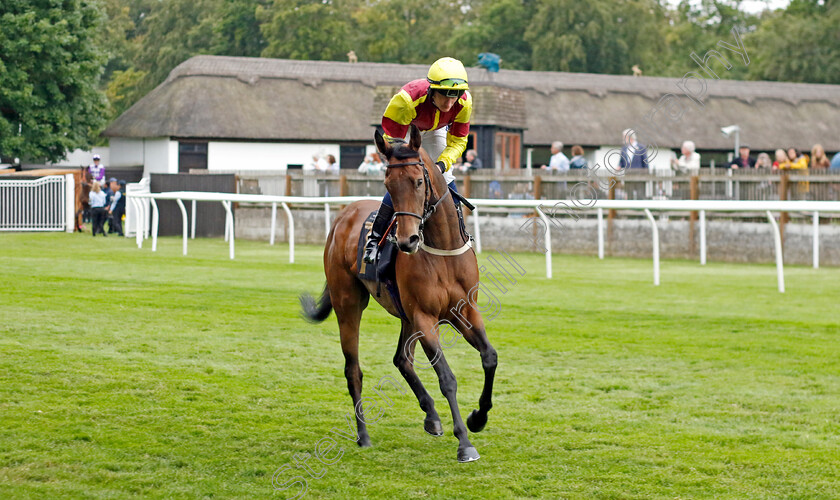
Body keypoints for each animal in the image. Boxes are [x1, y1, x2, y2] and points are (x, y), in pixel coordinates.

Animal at [302, 127, 498, 462]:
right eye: (388, 186)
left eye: (419, 182)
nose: (407, 241)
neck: (441, 249)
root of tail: (343, 216)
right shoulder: (425, 317)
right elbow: (447, 378)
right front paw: (464, 442)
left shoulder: (464, 311)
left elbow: (489, 357)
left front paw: (478, 417)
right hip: (349, 303)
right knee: (353, 370)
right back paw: (363, 435)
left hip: (405, 315)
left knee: (402, 359)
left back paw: (431, 417)